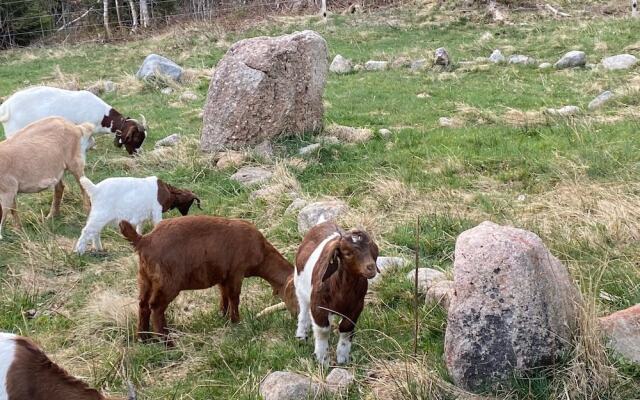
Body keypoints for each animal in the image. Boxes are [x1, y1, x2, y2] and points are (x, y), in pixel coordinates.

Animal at [119, 216, 298, 344]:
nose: (297, 318)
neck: (261, 252)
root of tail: (144, 240)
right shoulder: (236, 272)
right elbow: (234, 297)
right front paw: (236, 321)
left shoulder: (223, 276)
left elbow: (224, 296)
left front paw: (223, 316)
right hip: (168, 281)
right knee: (155, 306)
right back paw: (166, 341)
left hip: (145, 278)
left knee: (143, 304)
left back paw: (143, 337)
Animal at [296, 222, 380, 366]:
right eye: (347, 253)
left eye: (371, 249)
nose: (371, 268)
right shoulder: (318, 305)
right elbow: (323, 330)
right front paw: (322, 359)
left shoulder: (357, 307)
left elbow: (346, 328)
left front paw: (342, 357)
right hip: (300, 287)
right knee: (303, 311)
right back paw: (301, 334)